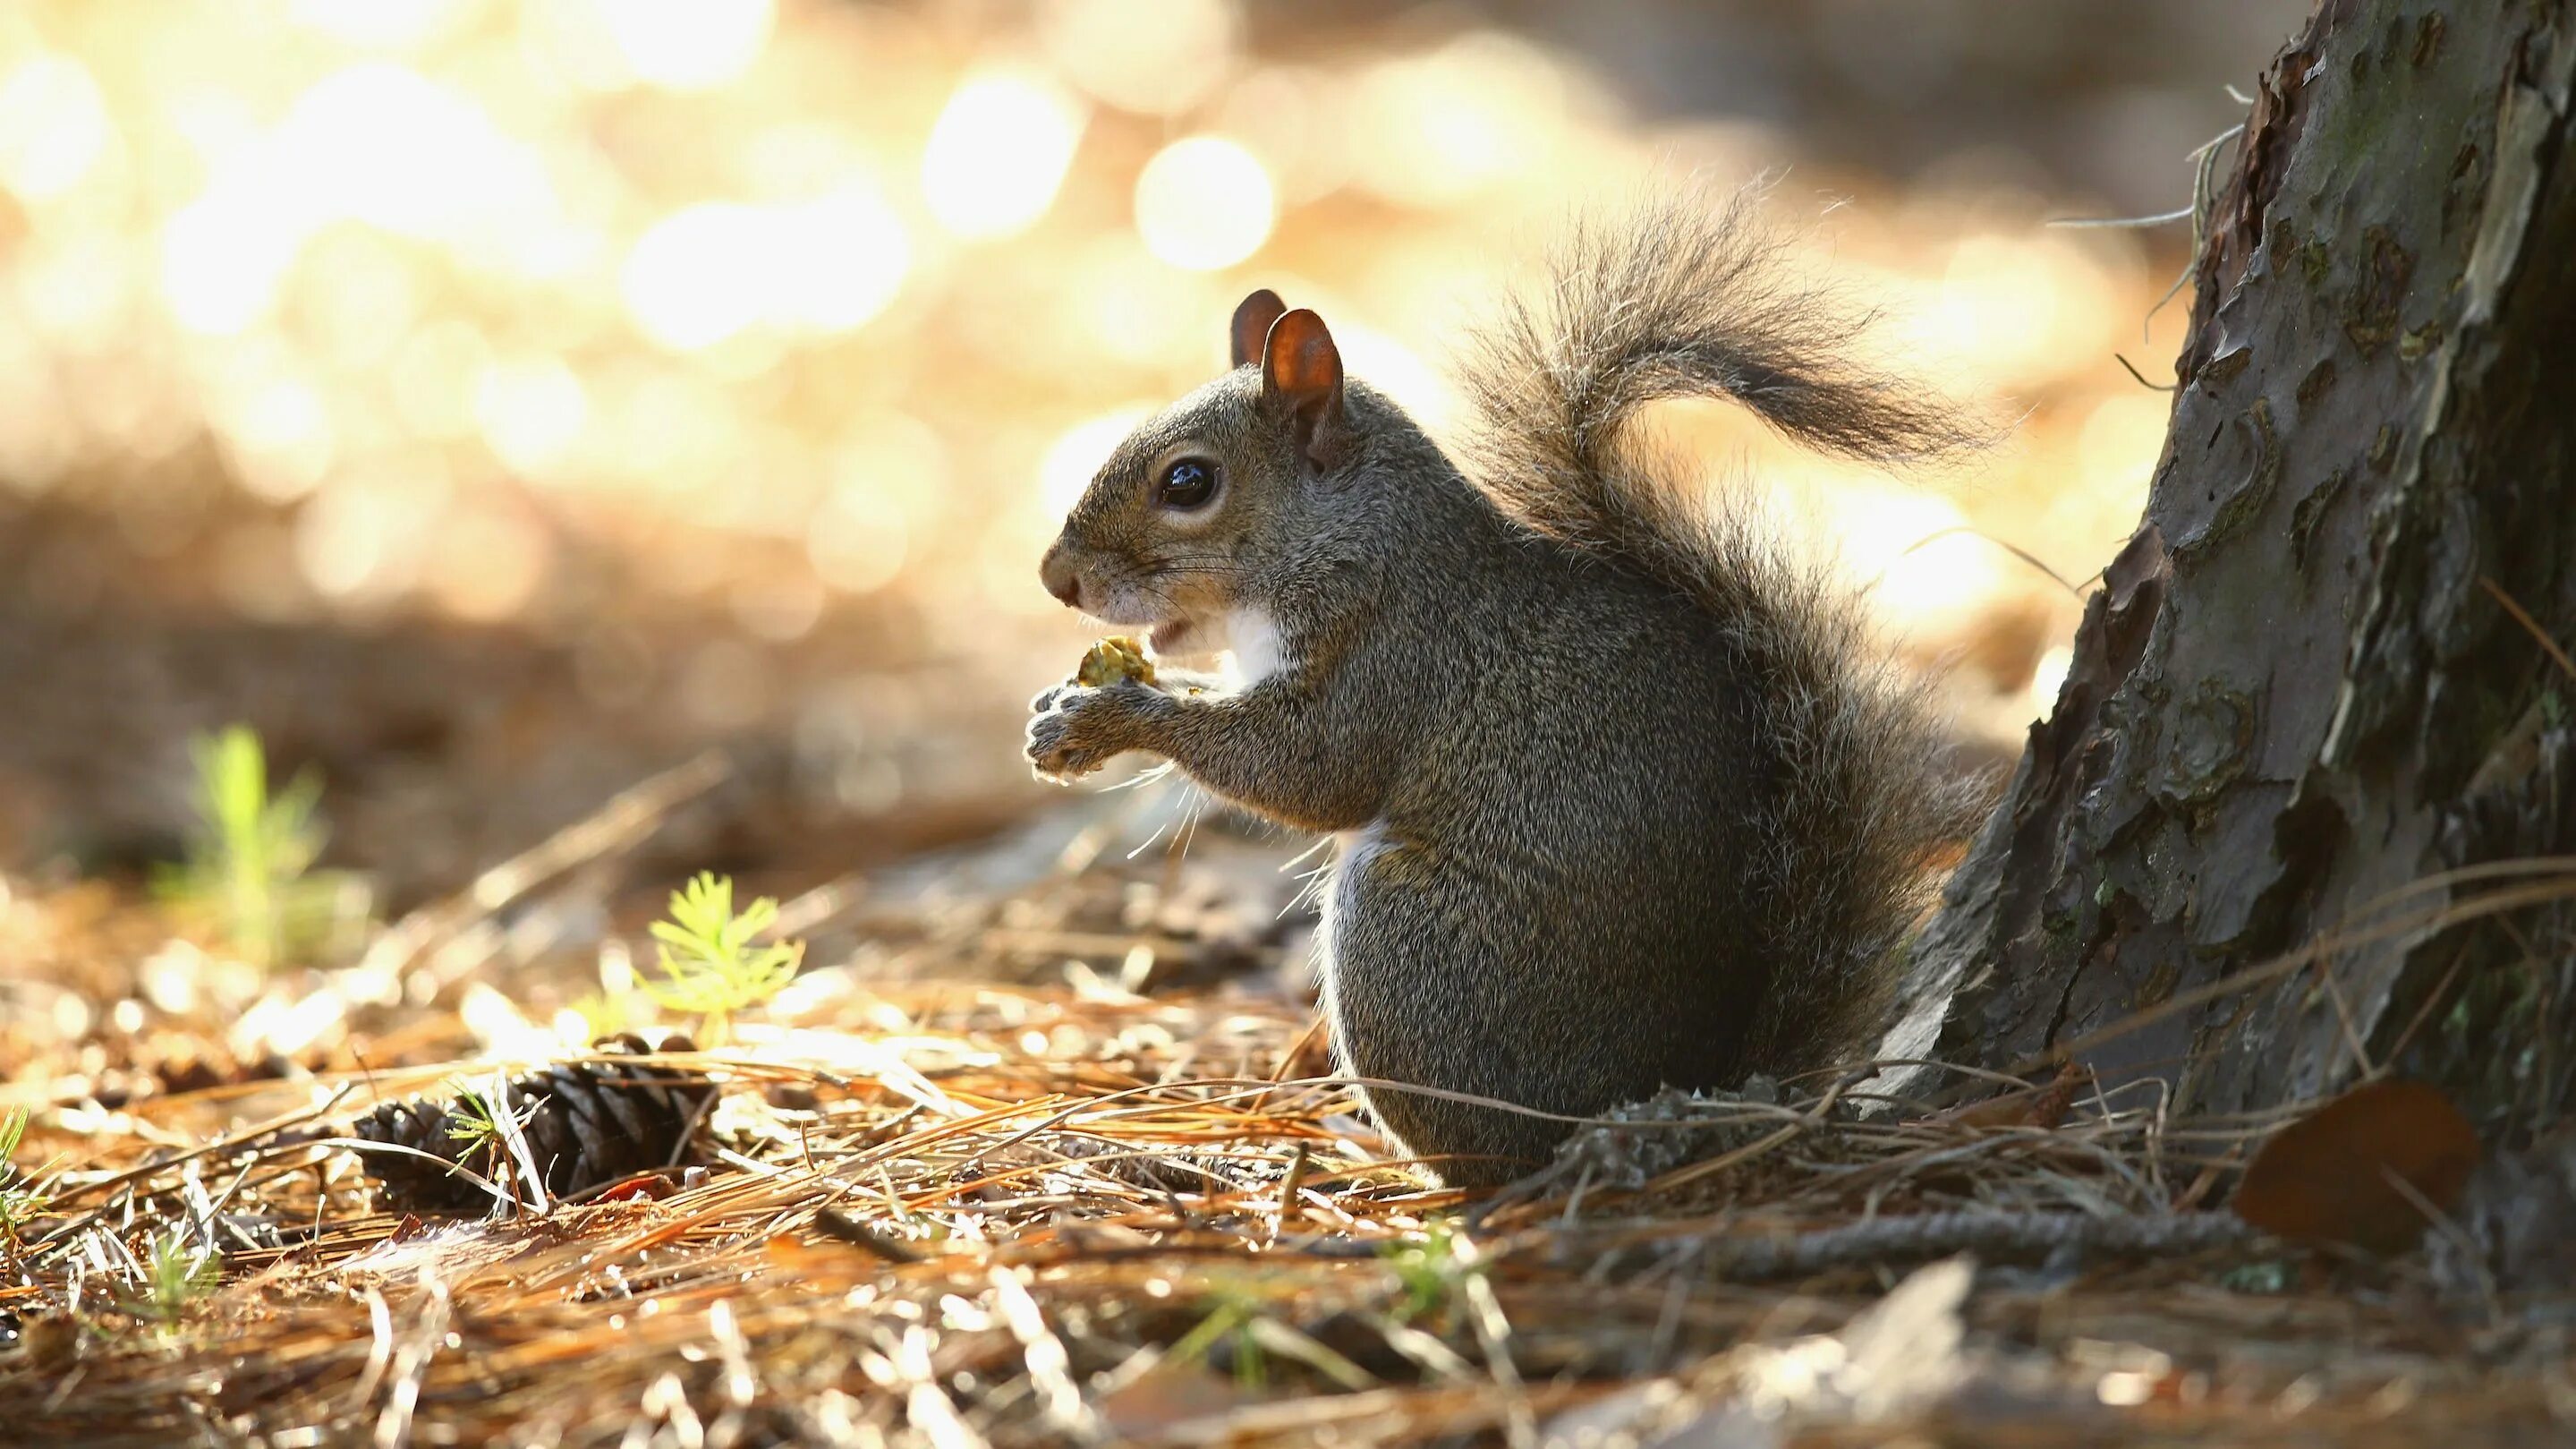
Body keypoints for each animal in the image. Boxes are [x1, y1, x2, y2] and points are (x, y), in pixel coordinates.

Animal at [1020, 183, 1968, 1186]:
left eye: (1189, 482)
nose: (1056, 577)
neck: (1357, 533)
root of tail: (1688, 1085)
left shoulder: (1393, 646)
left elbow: (1309, 770)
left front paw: (1112, 715)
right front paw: (1060, 707)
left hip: (1405, 942)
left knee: (1484, 1154)